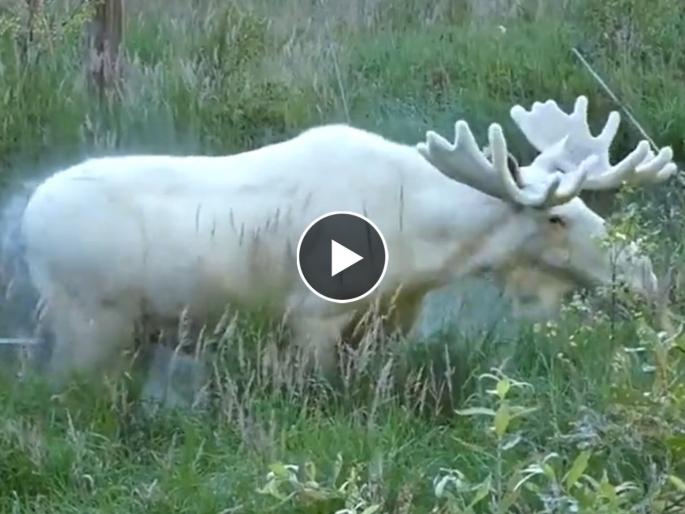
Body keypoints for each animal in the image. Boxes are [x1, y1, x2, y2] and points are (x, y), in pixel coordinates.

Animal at [18, 94, 678, 388]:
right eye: (557, 219)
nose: (646, 275)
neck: (430, 246)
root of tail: (24, 223)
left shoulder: (392, 320)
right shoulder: (312, 317)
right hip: (89, 327)